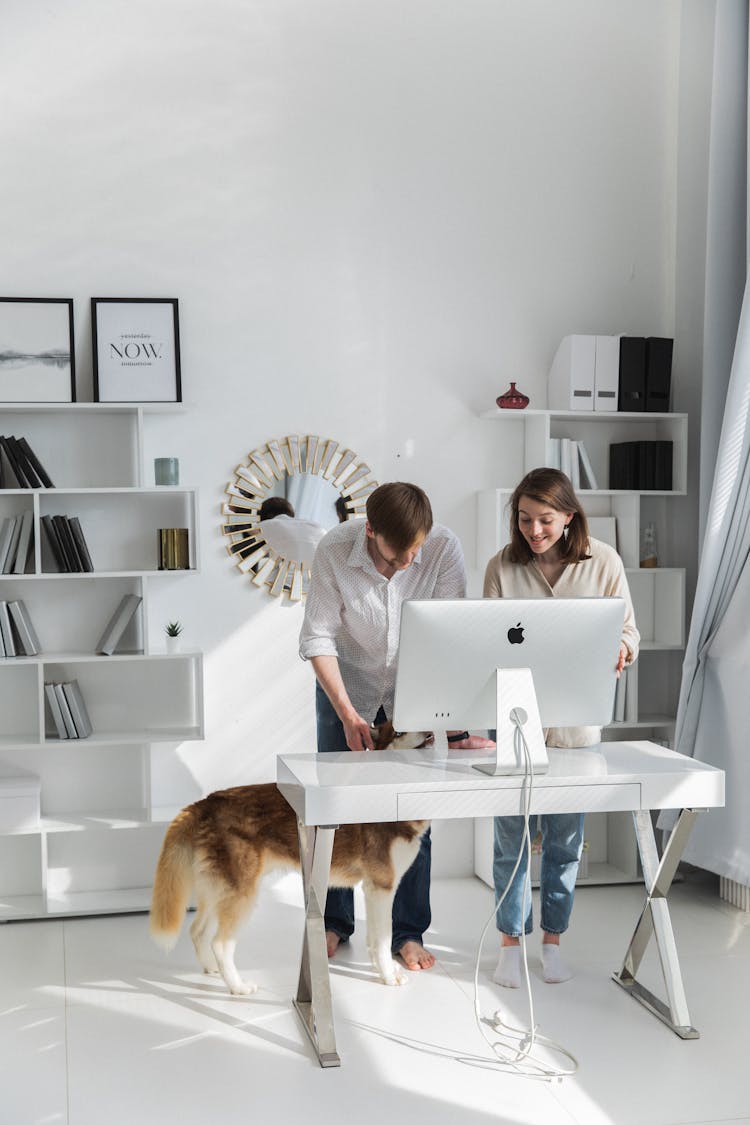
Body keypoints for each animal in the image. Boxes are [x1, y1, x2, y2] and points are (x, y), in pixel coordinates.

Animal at [149, 720, 431, 994]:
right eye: (399, 732)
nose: (430, 732)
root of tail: (205, 803)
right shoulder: (382, 887)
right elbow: (383, 940)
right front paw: (388, 976)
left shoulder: (374, 890)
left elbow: (374, 939)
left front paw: (385, 969)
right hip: (242, 893)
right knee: (220, 943)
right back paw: (239, 987)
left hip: (217, 888)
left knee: (197, 931)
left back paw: (212, 968)